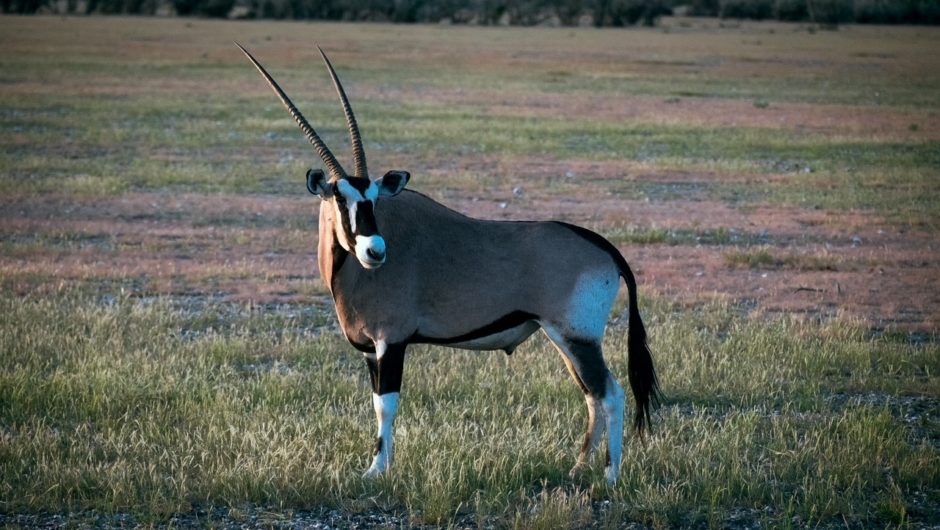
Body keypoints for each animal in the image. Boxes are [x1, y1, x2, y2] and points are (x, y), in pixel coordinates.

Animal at [237, 44, 660, 482]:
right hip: (564, 339)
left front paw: (376, 470)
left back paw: (610, 477)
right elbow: (375, 402)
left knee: (610, 394)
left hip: (578, 337)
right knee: (592, 396)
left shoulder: (392, 341)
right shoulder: (372, 350)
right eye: (340, 197)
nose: (375, 251)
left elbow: (386, 404)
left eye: (373, 197)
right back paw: (578, 467)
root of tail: (605, 248)